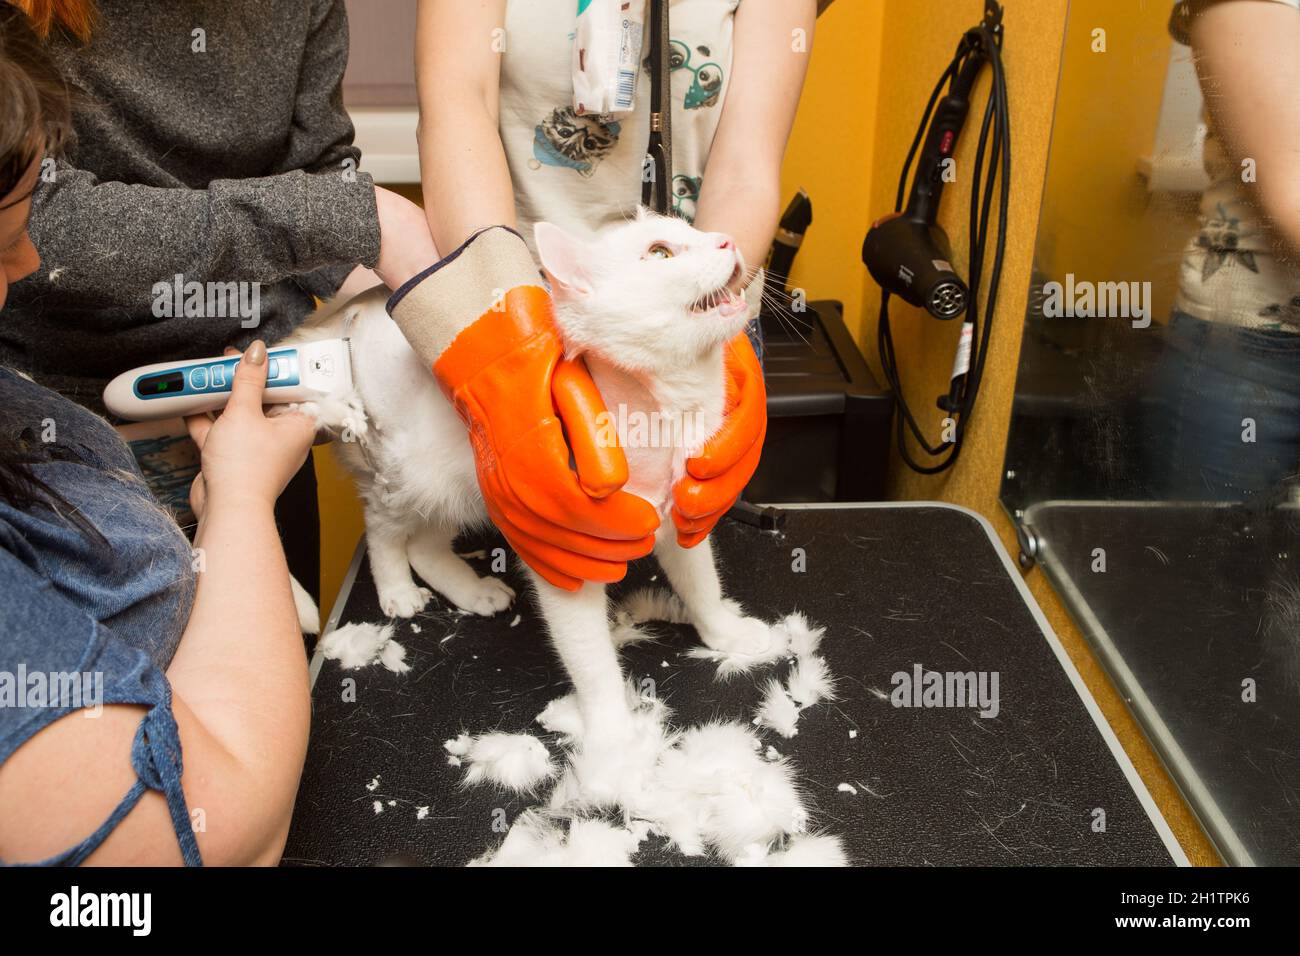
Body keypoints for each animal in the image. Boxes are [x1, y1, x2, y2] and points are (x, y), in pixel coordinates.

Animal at [284, 213, 769, 749]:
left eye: (693, 229)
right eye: (660, 252)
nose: (726, 240)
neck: (664, 416)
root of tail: (347, 312)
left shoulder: (684, 514)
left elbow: (702, 583)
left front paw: (725, 632)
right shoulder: (566, 555)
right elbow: (591, 661)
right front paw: (614, 735)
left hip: (474, 485)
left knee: (425, 546)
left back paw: (472, 591)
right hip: (403, 470)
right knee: (384, 528)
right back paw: (396, 587)